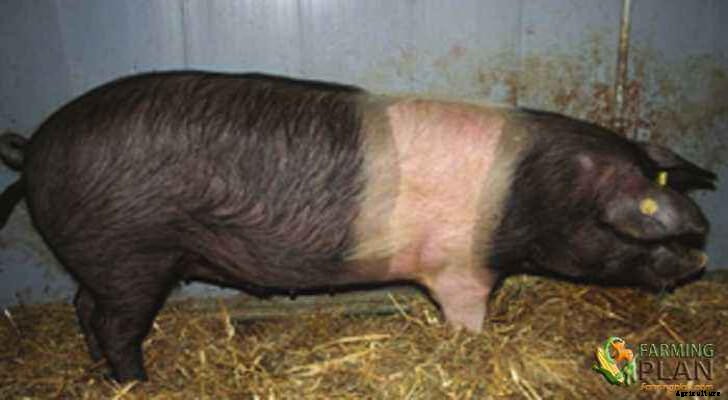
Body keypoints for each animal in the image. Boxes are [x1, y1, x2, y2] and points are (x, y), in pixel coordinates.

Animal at [0, 72, 715, 382]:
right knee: (116, 323)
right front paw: (471, 346)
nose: (702, 258)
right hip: (131, 249)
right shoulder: (459, 267)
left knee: (83, 306)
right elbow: (469, 316)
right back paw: (137, 384)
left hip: (106, 257)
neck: (535, 193)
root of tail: (32, 148)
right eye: (643, 227)